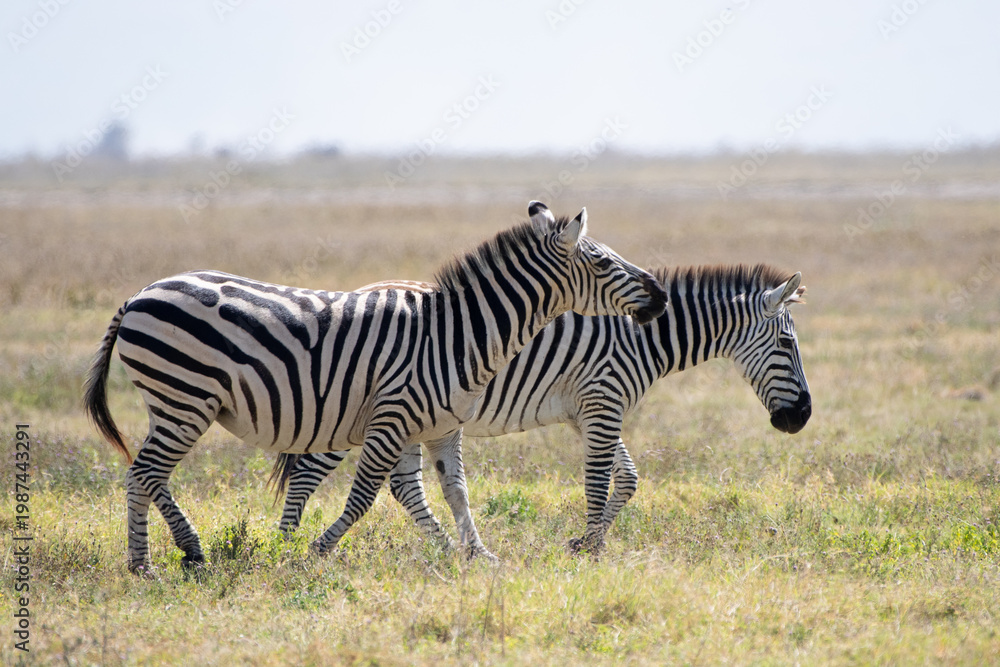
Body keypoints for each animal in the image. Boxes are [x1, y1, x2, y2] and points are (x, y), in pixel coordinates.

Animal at [84, 202, 668, 574]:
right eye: (603, 262)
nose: (661, 296)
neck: (458, 335)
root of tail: (140, 293)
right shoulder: (392, 417)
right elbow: (364, 496)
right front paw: (317, 552)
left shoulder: (438, 426)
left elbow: (455, 493)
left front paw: (476, 556)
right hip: (184, 396)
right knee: (144, 473)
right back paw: (159, 561)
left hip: (174, 402)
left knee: (148, 474)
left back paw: (169, 557)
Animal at [272, 263, 811, 554]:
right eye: (787, 343)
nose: (801, 417)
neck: (642, 338)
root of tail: (355, 295)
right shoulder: (603, 401)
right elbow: (598, 480)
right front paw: (591, 552)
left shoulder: (588, 412)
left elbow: (628, 478)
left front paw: (587, 543)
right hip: (347, 412)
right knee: (307, 473)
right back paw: (284, 546)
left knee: (403, 488)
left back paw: (446, 549)